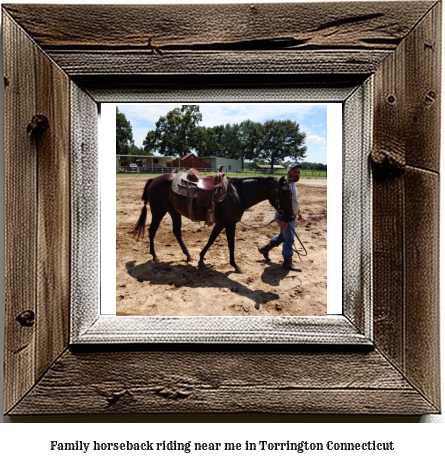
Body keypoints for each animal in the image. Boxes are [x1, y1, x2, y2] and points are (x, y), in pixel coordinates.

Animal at [131, 173, 294, 272]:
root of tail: (153, 179)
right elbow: (231, 244)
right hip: (159, 212)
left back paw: (188, 255)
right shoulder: (229, 224)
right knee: (152, 231)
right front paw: (235, 265)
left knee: (176, 232)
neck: (237, 193)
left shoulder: (221, 223)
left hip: (174, 212)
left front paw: (201, 259)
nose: (291, 217)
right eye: (285, 193)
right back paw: (155, 256)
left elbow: (211, 239)